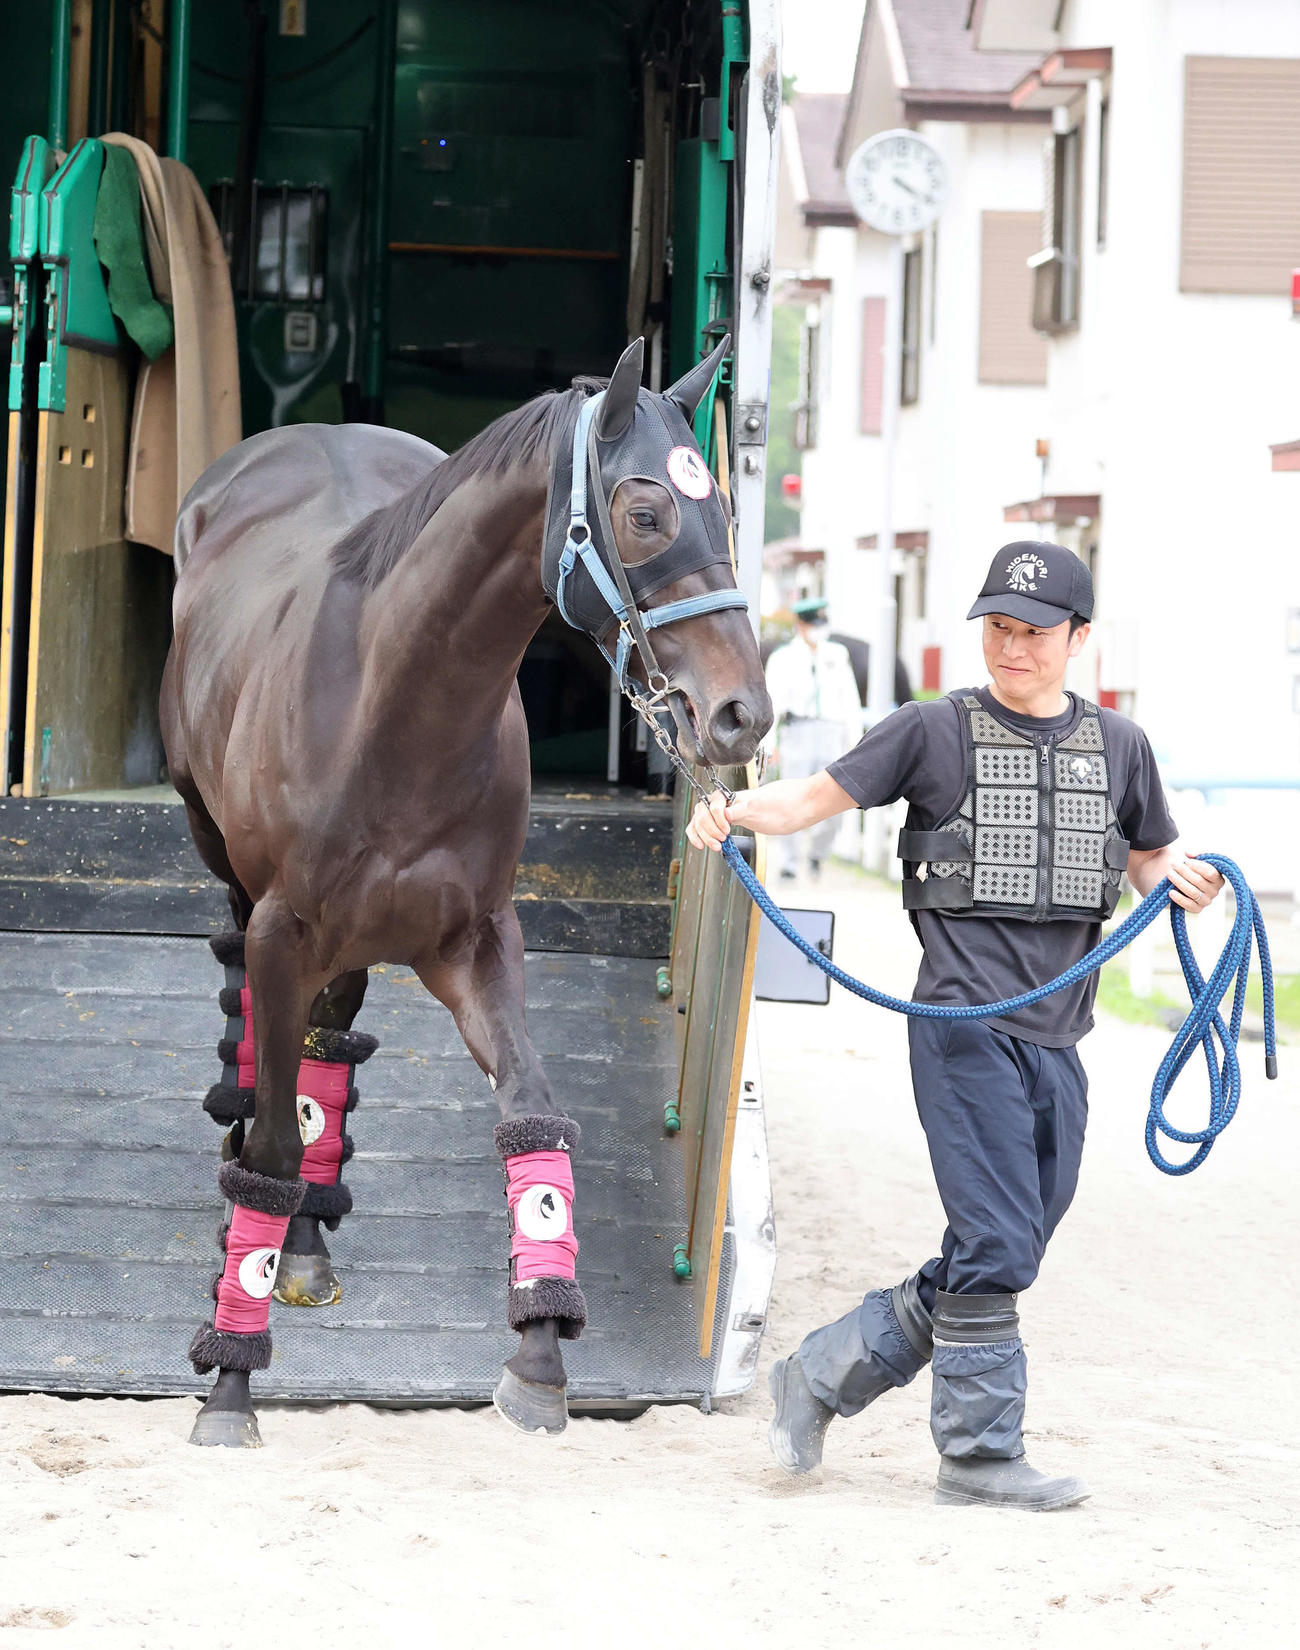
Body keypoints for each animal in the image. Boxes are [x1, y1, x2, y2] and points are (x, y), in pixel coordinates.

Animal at [160, 336, 772, 1447]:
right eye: (645, 512)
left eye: (722, 518)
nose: (741, 713)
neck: (393, 702)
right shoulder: (281, 933)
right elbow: (269, 1136)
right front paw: (229, 1378)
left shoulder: (475, 942)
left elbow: (529, 1113)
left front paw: (538, 1354)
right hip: (223, 862)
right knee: (263, 1051)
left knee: (326, 1045)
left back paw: (304, 1247)